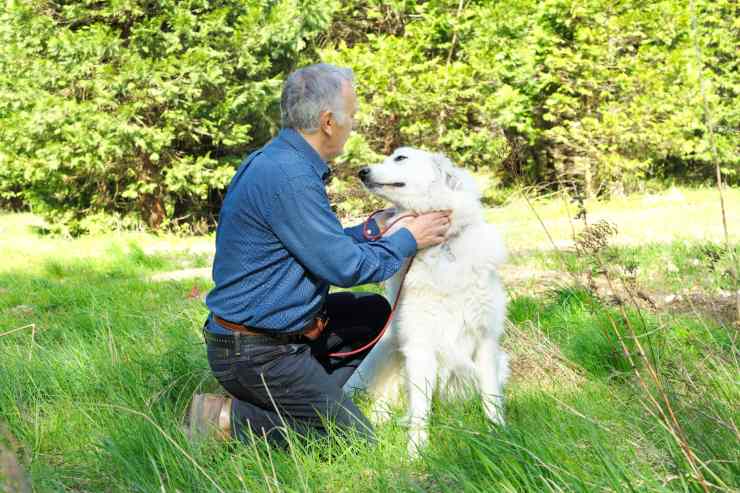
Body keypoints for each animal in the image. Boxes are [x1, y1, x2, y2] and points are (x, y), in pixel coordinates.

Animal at [346, 147, 508, 458]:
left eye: (400, 158)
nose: (362, 171)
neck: (442, 247)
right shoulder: (420, 345)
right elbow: (420, 409)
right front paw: (416, 452)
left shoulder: (485, 340)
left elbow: (491, 395)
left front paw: (499, 433)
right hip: (385, 352)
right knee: (381, 400)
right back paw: (381, 419)